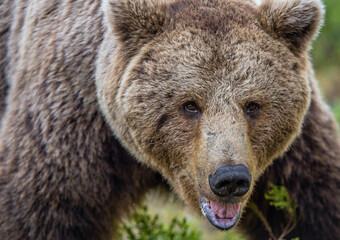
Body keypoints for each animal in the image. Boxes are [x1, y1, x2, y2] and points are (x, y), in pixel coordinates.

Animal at [0, 0, 338, 239]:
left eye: (252, 105)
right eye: (190, 105)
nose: (229, 179)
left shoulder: (292, 155)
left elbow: (318, 198)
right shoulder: (75, 118)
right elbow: (38, 210)